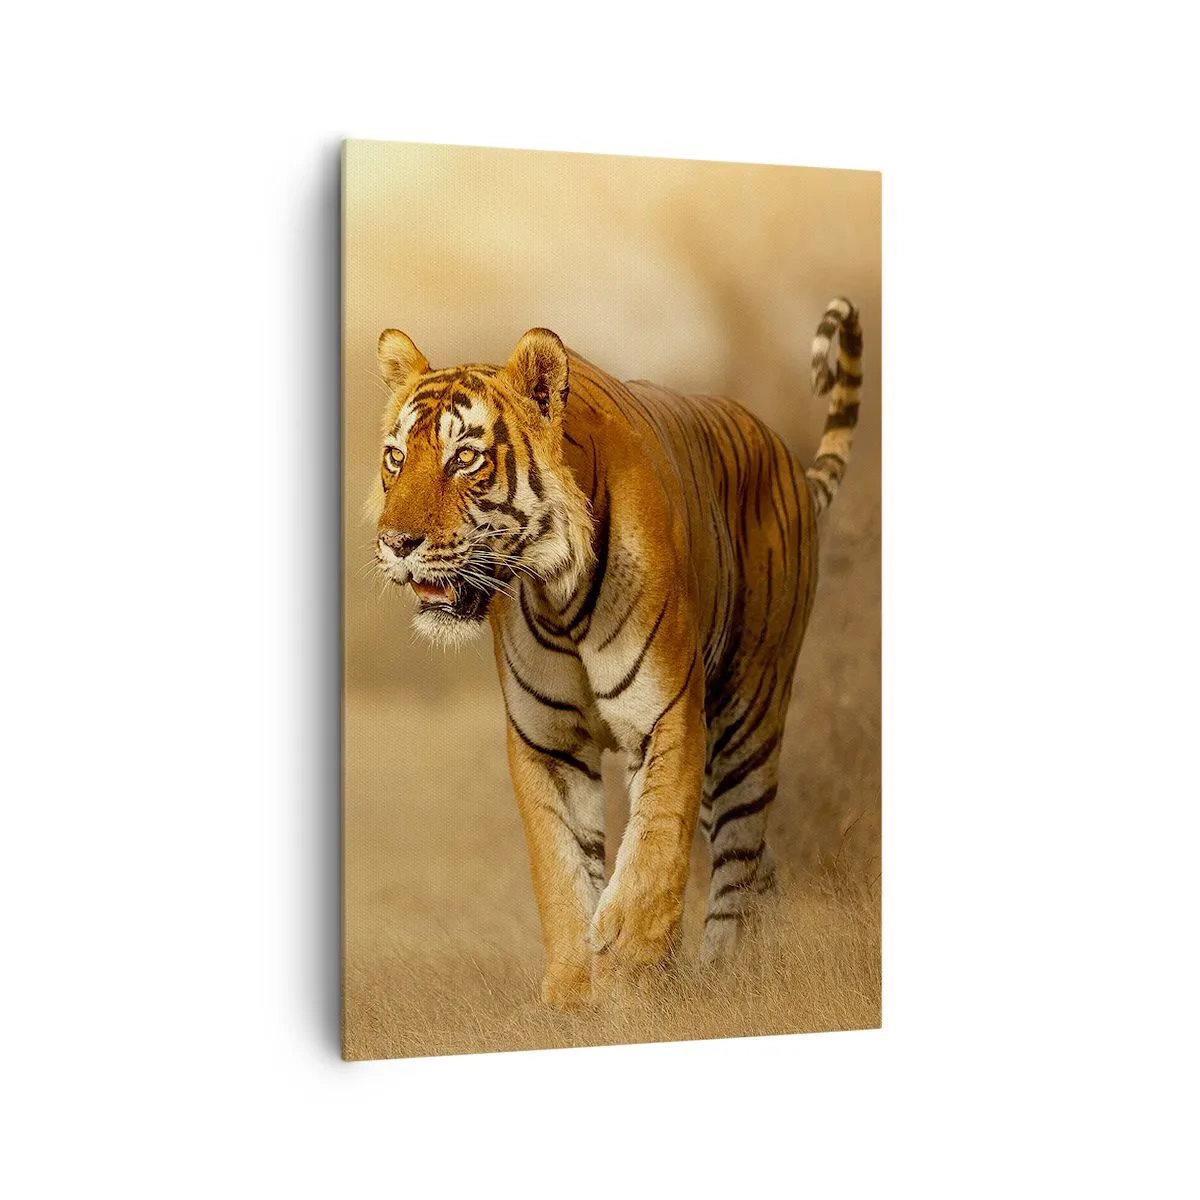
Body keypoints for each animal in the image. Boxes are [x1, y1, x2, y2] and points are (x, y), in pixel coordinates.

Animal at [369, 298, 863, 1009]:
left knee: (738, 859)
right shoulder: (545, 741)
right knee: (756, 864)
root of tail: (787, 458)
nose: (395, 542)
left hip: (747, 719)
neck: (554, 590)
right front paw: (575, 994)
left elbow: (652, 848)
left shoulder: (667, 715)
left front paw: (629, 973)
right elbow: (562, 869)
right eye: (394, 457)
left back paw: (723, 975)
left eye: (464, 458)